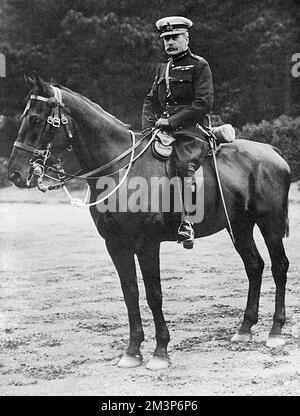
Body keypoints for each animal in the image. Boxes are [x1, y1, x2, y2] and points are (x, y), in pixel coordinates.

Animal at [8, 75, 290, 370]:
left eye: (37, 119)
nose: (15, 173)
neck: (120, 169)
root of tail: (271, 151)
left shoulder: (147, 244)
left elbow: (154, 294)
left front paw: (160, 351)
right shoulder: (116, 245)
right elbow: (130, 293)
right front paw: (132, 350)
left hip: (270, 224)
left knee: (279, 266)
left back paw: (275, 331)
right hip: (239, 226)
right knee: (254, 267)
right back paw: (244, 329)